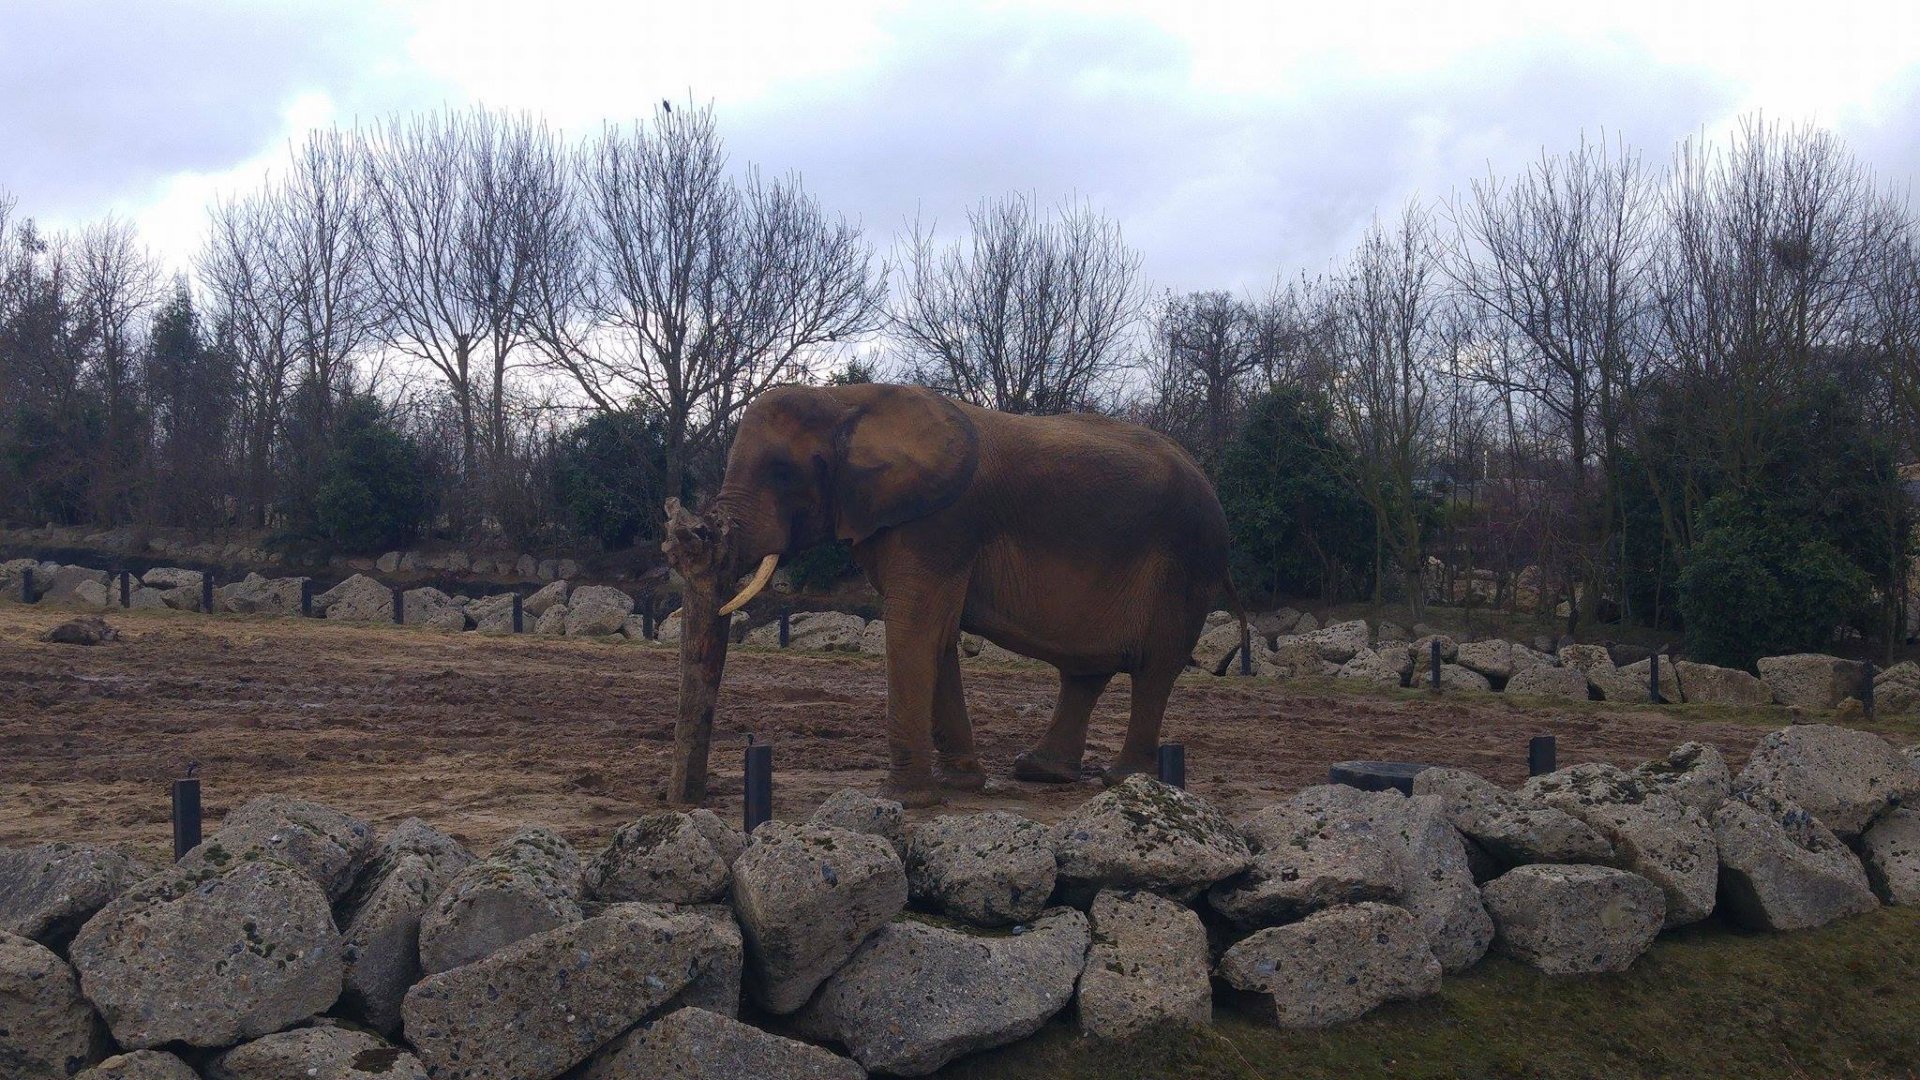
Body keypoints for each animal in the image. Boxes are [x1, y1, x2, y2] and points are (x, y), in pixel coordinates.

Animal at [662, 381, 1235, 807]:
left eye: (782, 472)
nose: (688, 799)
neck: (845, 399)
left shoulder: (940, 522)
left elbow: (915, 629)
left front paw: (901, 798)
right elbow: (935, 637)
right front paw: (960, 785)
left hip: (1187, 565)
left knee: (1155, 669)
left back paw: (1128, 781)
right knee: (1086, 670)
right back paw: (1040, 772)